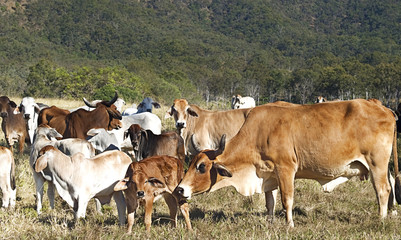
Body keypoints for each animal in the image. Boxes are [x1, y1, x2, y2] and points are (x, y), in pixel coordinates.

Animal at [175, 98, 396, 228]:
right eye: (191, 163)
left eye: (202, 167)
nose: (180, 189)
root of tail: (383, 107)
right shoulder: (268, 174)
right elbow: (270, 202)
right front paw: (271, 221)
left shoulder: (286, 169)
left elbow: (286, 199)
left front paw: (289, 224)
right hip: (381, 166)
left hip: (376, 163)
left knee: (382, 190)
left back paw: (381, 219)